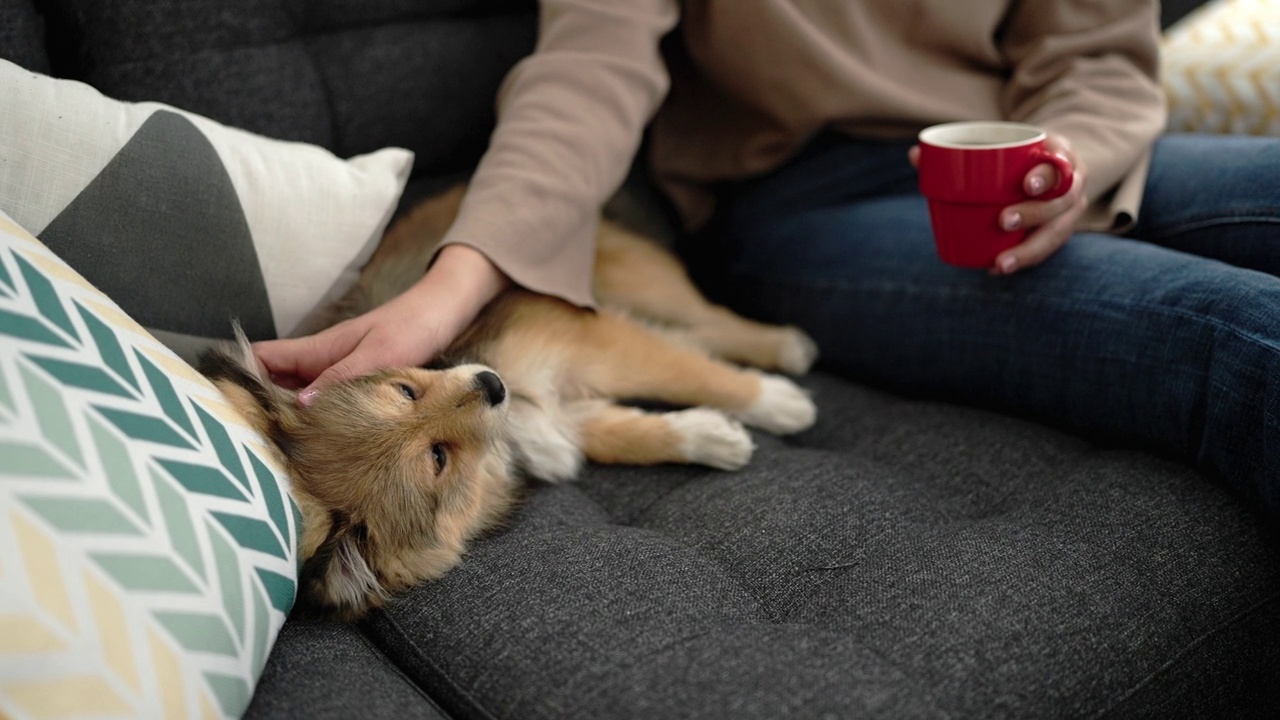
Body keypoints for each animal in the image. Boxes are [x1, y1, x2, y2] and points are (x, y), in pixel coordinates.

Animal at [199, 183, 819, 617]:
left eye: (405, 389)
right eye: (438, 459)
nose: (492, 385)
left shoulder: (589, 342)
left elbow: (692, 375)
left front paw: (775, 404)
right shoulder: (561, 412)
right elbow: (629, 433)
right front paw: (716, 436)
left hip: (634, 280)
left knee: (710, 322)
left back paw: (788, 349)